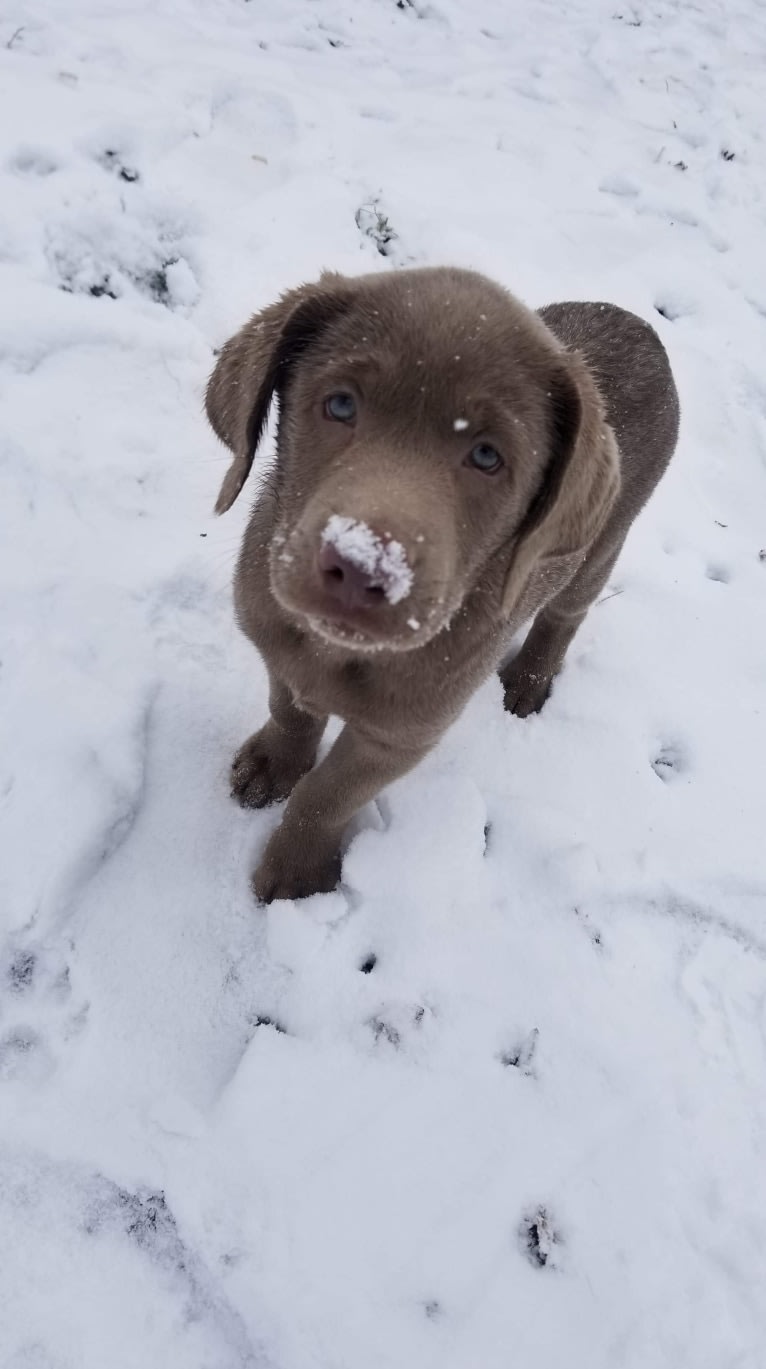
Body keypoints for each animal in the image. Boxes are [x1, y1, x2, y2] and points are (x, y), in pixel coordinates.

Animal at [206, 271, 678, 903]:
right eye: (340, 404)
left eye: (487, 456)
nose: (362, 567)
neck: (333, 651)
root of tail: (641, 324)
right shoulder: (276, 646)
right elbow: (290, 711)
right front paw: (273, 764)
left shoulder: (402, 735)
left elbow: (328, 796)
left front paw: (294, 874)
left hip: (602, 545)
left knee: (565, 616)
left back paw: (527, 683)